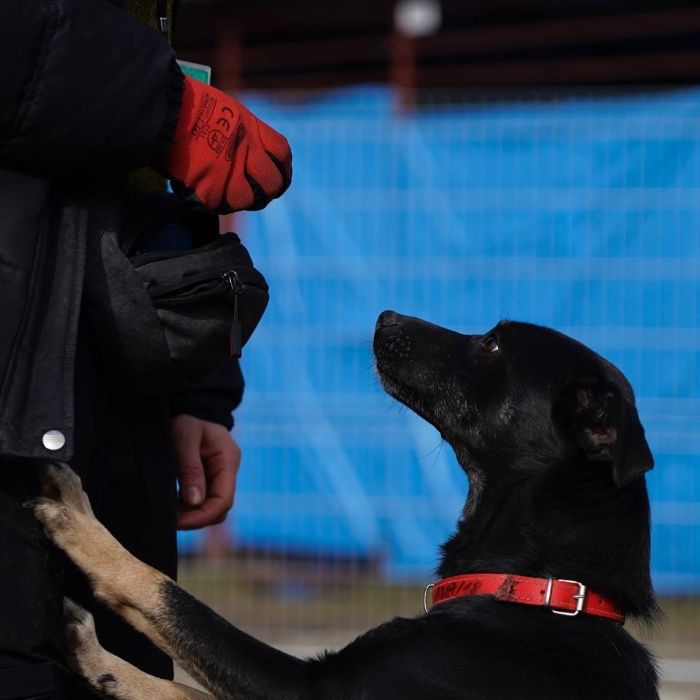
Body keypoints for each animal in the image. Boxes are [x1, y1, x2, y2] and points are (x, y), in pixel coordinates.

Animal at [28, 314, 656, 696]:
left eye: (493, 343)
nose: (385, 316)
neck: (533, 588)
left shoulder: (309, 687)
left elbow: (174, 601)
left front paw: (84, 532)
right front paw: (105, 666)